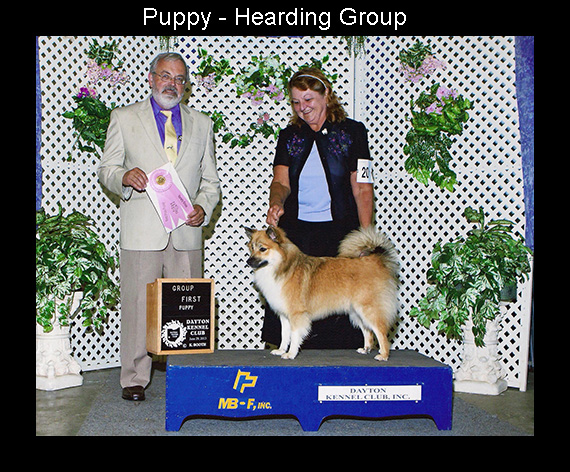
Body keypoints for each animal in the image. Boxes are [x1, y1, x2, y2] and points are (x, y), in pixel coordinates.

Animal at [244, 225, 399, 361]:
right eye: (251, 248)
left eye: (262, 249)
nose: (248, 261)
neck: (282, 267)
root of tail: (374, 260)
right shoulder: (284, 315)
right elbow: (285, 335)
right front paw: (281, 350)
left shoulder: (297, 314)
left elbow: (294, 336)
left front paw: (291, 354)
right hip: (356, 311)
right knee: (368, 331)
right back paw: (366, 349)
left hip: (368, 308)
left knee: (380, 331)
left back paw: (383, 355)